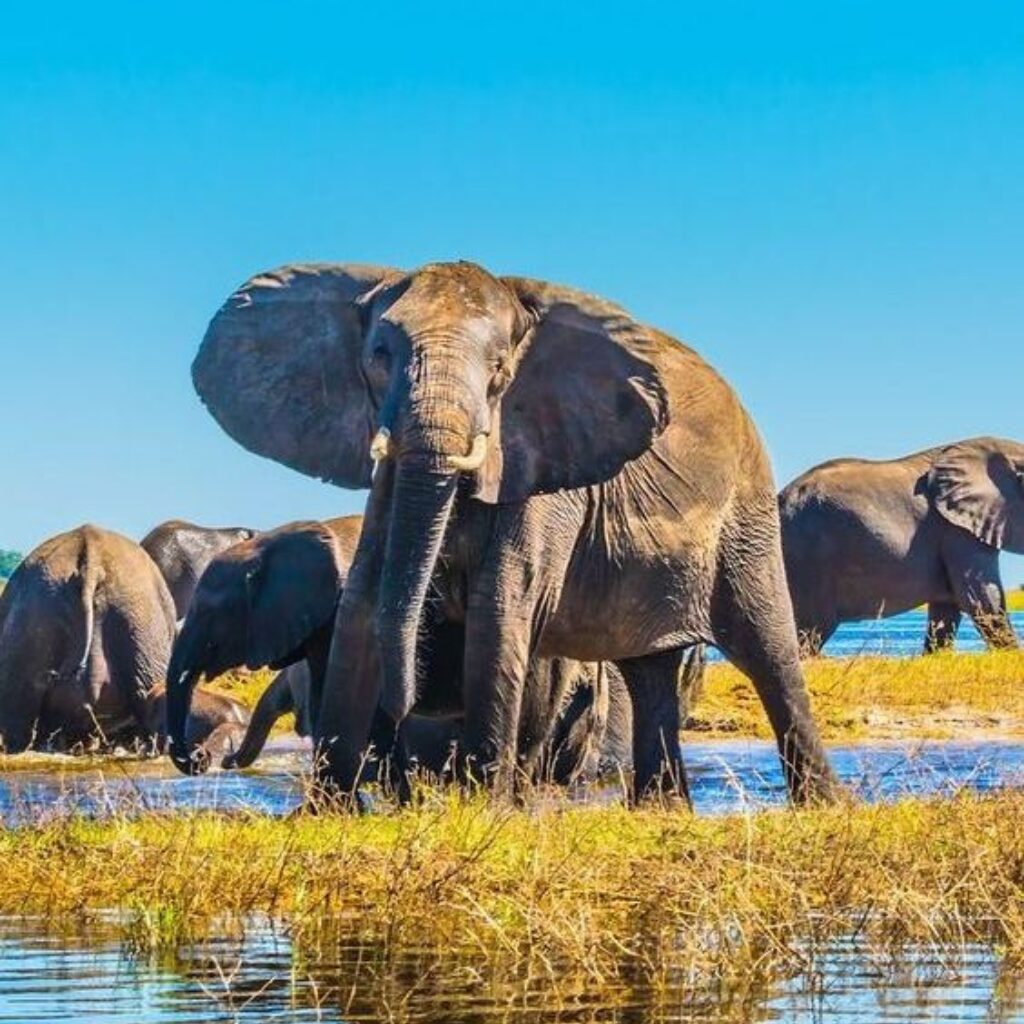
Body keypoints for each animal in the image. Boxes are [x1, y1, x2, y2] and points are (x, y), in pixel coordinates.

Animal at [193, 260, 839, 802]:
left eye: (501, 369)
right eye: (378, 353)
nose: (405, 709)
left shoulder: (547, 470)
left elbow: (500, 605)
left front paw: (485, 808)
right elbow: (364, 600)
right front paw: (331, 812)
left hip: (746, 514)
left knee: (768, 652)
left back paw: (820, 805)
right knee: (646, 669)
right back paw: (663, 810)